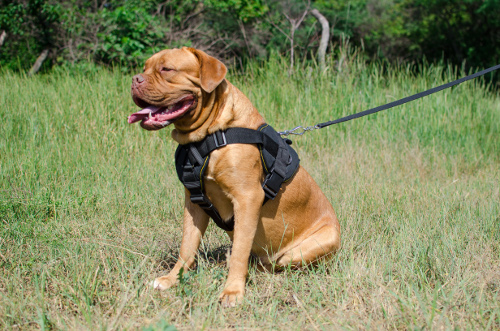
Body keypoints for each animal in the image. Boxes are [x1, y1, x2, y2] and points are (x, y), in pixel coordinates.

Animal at [127, 47, 342, 308]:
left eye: (166, 69)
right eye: (145, 67)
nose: (135, 79)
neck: (211, 134)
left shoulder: (247, 199)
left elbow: (240, 250)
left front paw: (232, 291)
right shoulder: (194, 203)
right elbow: (187, 245)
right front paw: (172, 279)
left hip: (309, 247)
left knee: (277, 264)